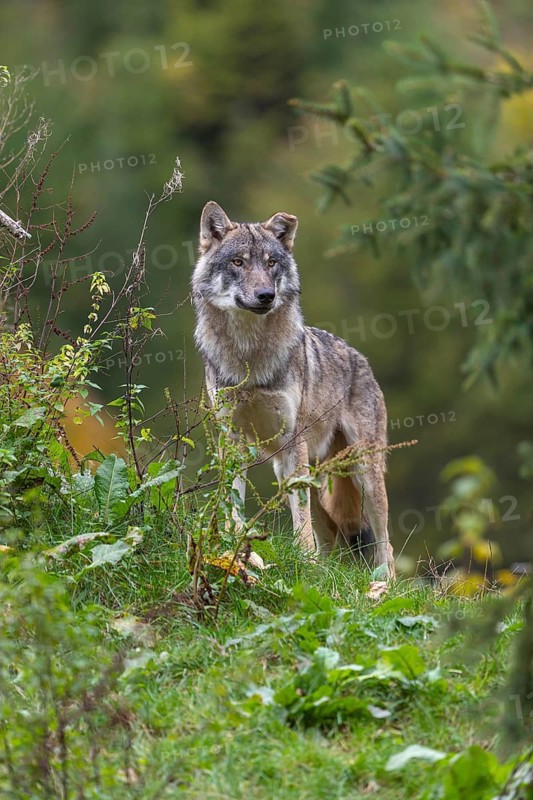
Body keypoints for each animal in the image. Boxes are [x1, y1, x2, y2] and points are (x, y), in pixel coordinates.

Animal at [192, 201, 394, 576]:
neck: (250, 357)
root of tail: (360, 358)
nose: (265, 296)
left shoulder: (291, 440)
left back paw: (382, 583)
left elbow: (300, 522)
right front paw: (231, 547)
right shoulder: (233, 439)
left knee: (384, 543)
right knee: (329, 535)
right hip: (303, 472)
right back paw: (326, 570)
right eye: (238, 262)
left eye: (271, 262)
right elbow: (232, 503)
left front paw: (304, 561)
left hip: (361, 471)